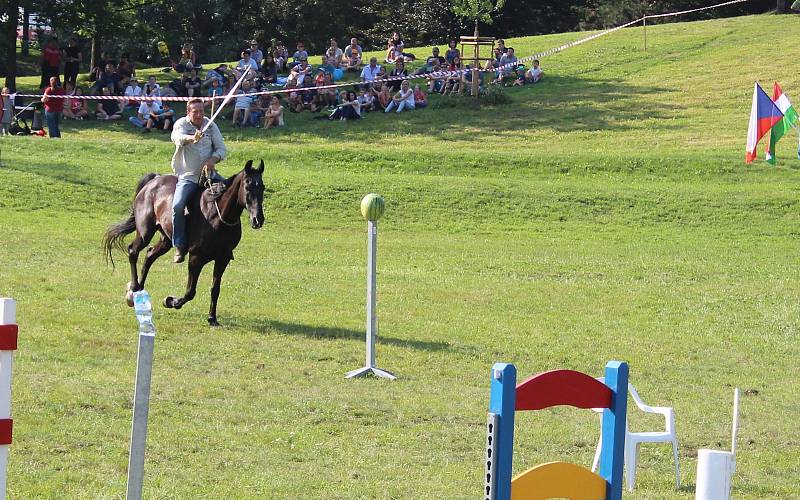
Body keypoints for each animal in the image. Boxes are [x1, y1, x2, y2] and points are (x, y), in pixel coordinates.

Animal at [101, 158, 266, 326]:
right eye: (247, 186)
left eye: (262, 187)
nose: (257, 220)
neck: (217, 215)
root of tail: (153, 181)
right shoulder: (195, 258)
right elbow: (190, 292)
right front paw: (170, 301)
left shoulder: (223, 258)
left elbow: (215, 289)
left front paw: (212, 318)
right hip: (145, 232)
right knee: (133, 251)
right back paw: (133, 290)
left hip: (166, 239)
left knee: (149, 255)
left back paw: (139, 289)